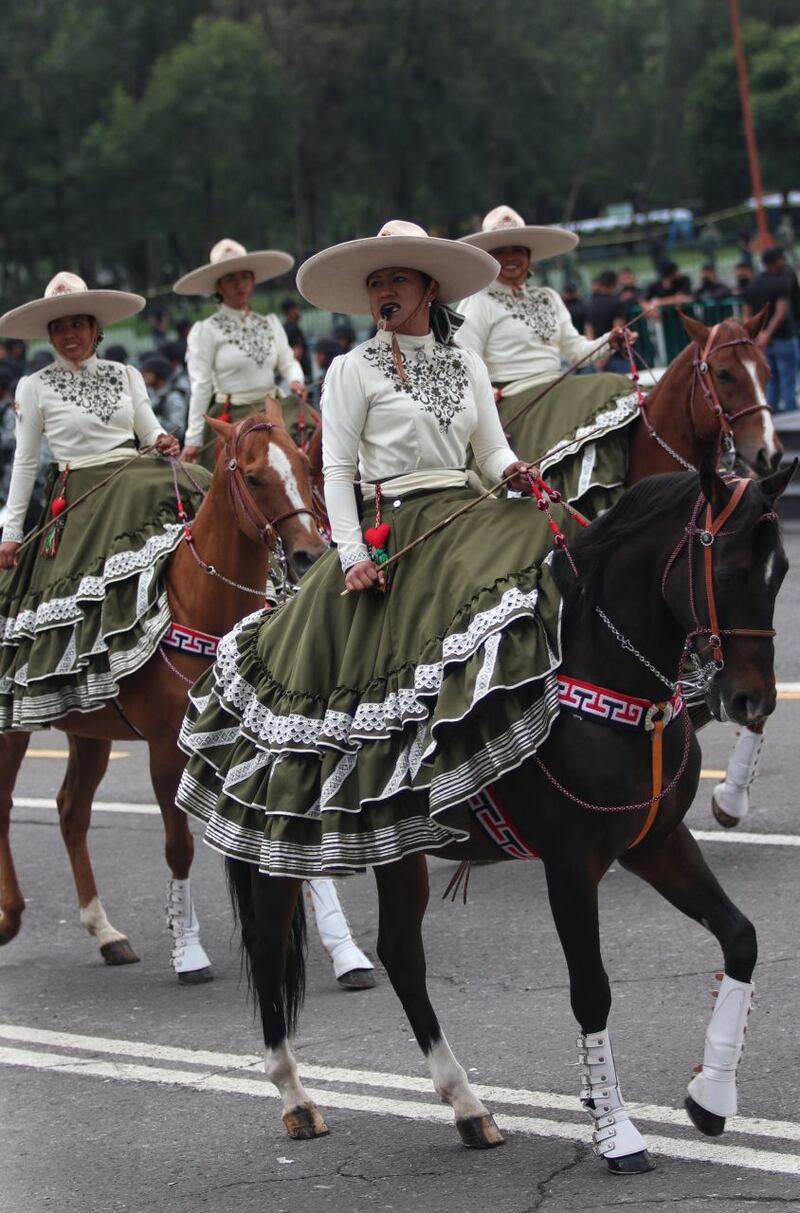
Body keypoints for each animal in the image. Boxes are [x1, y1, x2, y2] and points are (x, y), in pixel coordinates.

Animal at [0, 402, 327, 980]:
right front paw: (188, 949)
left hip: (89, 730)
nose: (311, 555)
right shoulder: (163, 749)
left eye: (306, 469)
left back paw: (104, 932)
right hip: (12, 725)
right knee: (4, 805)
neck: (199, 603)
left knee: (71, 810)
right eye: (256, 478)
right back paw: (10, 917)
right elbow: (179, 846)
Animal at [223, 460, 795, 1174]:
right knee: (270, 946)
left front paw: (711, 1098)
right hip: (279, 844)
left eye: (781, 571)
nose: (752, 700)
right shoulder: (570, 862)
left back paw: (467, 1106)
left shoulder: (655, 842)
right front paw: (618, 1132)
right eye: (729, 571)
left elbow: (741, 938)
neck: (604, 676)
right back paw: (295, 1096)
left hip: (398, 846)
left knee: (402, 955)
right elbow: (592, 990)